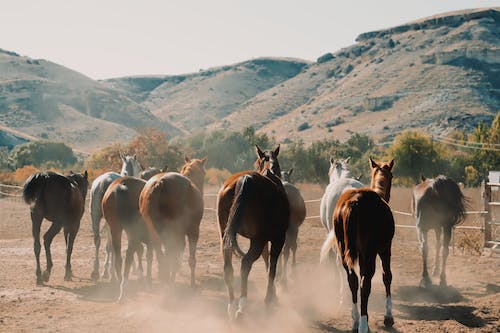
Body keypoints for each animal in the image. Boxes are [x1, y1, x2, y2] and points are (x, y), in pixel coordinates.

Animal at [139, 156, 207, 288]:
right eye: (204, 173)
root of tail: (160, 183)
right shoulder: (193, 231)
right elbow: (190, 258)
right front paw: (191, 283)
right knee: (170, 255)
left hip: (154, 231)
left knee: (159, 255)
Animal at [218, 145, 292, 320]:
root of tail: (246, 179)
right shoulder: (277, 239)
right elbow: (272, 266)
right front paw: (270, 298)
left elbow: (267, 261)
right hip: (258, 241)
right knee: (246, 264)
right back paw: (242, 306)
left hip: (226, 236)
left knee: (228, 267)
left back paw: (232, 305)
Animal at [320, 156, 394, 332]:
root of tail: (354, 202)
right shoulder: (385, 249)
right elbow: (387, 276)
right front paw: (388, 316)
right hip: (369, 253)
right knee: (365, 283)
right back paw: (363, 323)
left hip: (344, 249)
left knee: (352, 279)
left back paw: (354, 319)